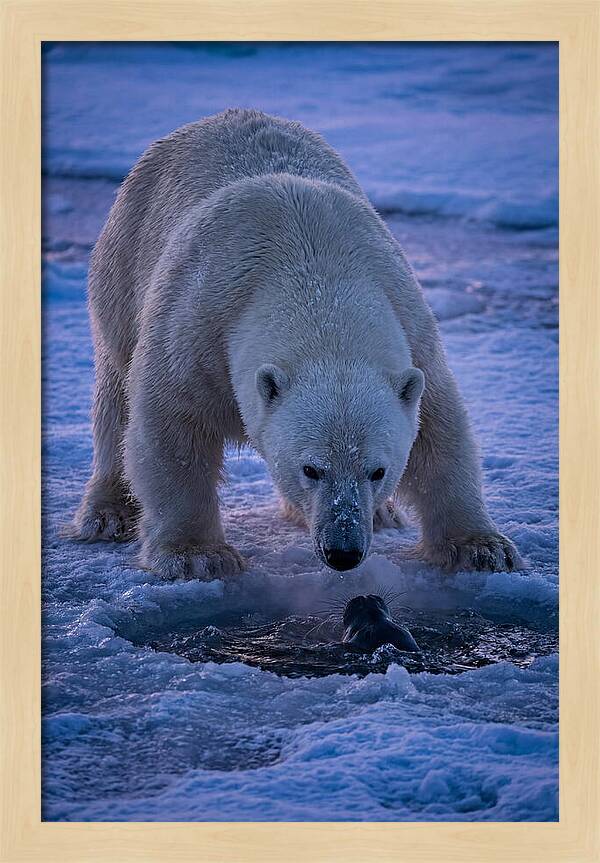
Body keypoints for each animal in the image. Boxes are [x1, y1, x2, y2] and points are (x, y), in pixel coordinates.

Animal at [71, 108, 522, 579]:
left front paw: (482, 548)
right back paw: (107, 513)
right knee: (115, 393)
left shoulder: (411, 327)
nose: (343, 551)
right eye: (311, 469)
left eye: (377, 470)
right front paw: (197, 555)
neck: (314, 271)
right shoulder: (198, 324)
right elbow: (172, 428)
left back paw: (383, 515)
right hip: (123, 262)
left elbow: (440, 430)